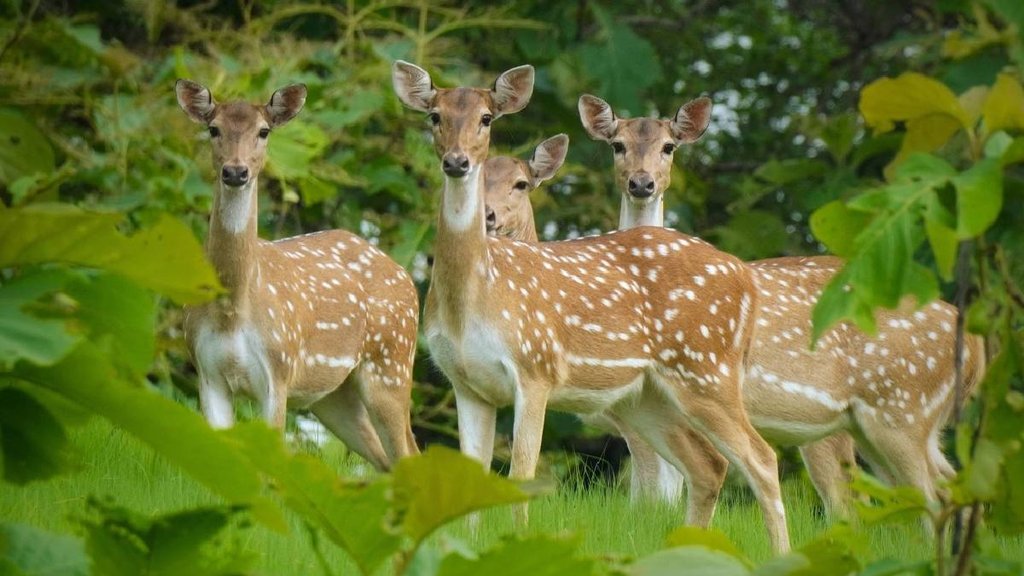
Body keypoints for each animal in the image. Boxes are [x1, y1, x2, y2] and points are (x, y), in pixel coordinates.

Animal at [175, 79, 419, 471]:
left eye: (264, 131)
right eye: (213, 129)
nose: (235, 172)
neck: (232, 311)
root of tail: (406, 275)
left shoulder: (278, 370)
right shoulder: (207, 371)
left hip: (392, 363)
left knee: (408, 452)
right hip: (333, 395)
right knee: (384, 460)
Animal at [393, 60, 792, 552]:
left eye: (486, 118)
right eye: (435, 116)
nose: (456, 161)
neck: (473, 300)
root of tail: (745, 278)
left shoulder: (536, 367)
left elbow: (521, 476)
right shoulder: (466, 383)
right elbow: (473, 479)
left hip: (707, 368)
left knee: (761, 457)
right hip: (646, 395)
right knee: (708, 465)